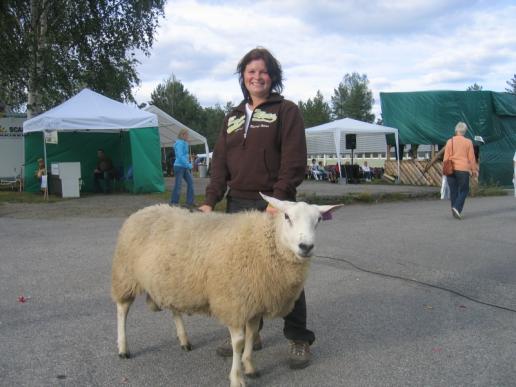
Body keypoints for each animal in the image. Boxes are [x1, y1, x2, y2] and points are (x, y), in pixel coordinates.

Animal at [111, 194, 340, 387]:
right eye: (287, 217)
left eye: (318, 220)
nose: (306, 247)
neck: (265, 243)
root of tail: (144, 210)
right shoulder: (234, 302)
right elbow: (238, 343)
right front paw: (237, 377)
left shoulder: (254, 303)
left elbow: (252, 335)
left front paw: (250, 367)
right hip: (125, 275)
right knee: (122, 310)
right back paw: (123, 348)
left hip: (171, 281)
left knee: (175, 310)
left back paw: (184, 340)